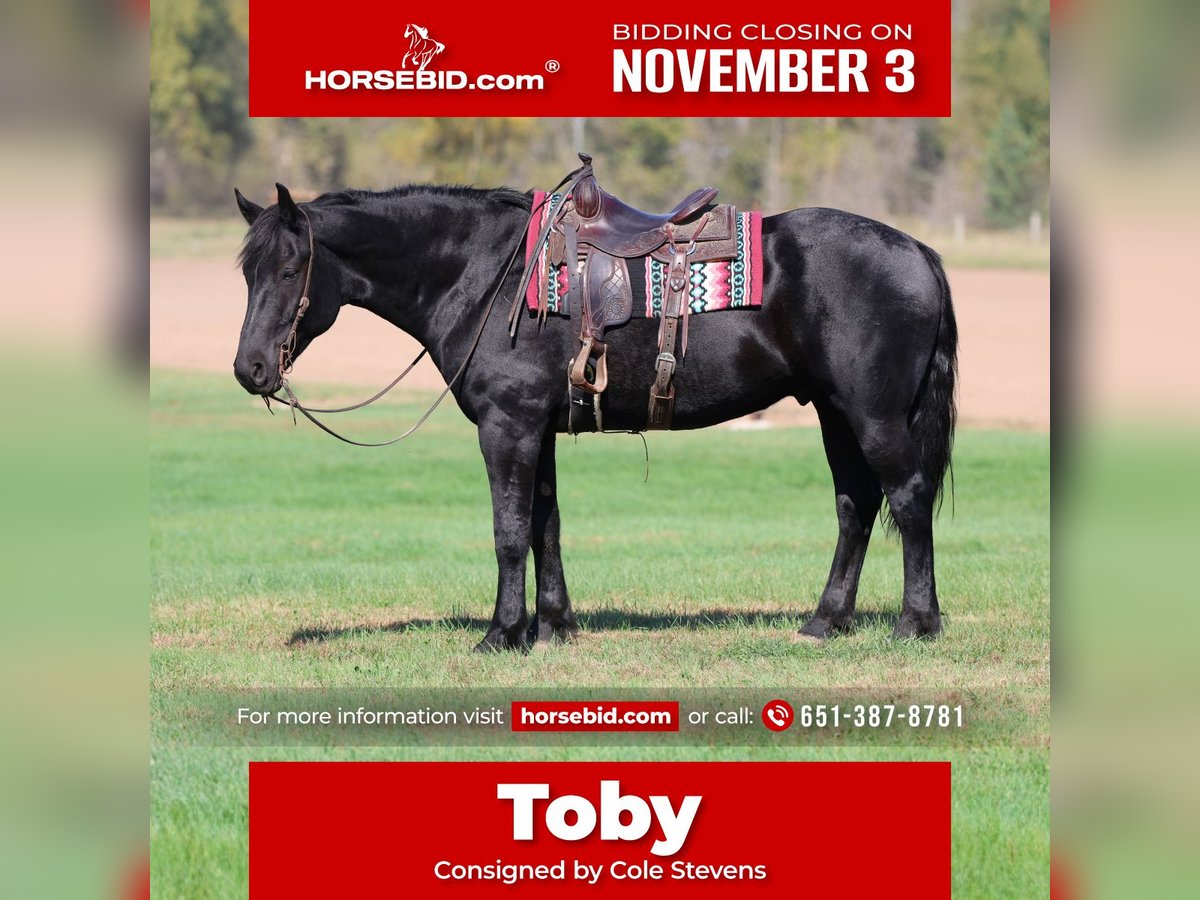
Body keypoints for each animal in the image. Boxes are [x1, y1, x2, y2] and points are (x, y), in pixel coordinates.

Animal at [231, 173, 957, 652]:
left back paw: (916, 621)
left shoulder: (508, 426)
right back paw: (825, 621)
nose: (251, 369)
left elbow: (508, 530)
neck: (485, 274)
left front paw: (502, 634)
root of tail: (917, 252)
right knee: (856, 505)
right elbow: (544, 527)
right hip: (836, 413)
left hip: (873, 416)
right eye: (247, 271)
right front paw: (554, 626)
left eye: (291, 268)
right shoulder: (539, 428)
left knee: (908, 497)